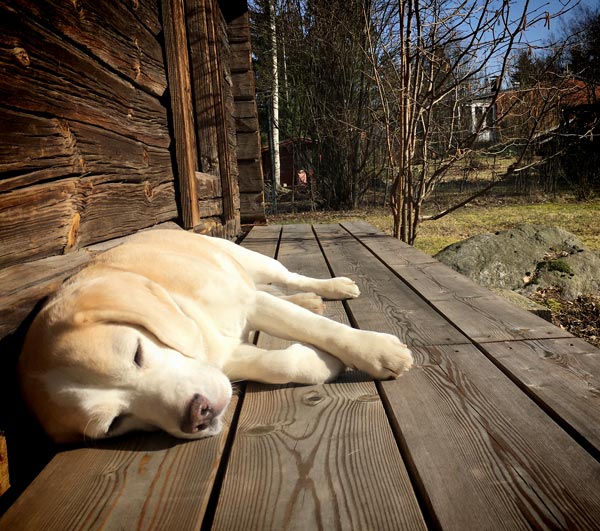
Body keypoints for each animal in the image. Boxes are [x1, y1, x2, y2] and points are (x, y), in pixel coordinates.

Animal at [18, 231, 412, 442]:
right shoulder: (226, 354)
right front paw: (323, 363)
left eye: (136, 353)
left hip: (250, 260)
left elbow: (317, 328)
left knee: (287, 278)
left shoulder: (247, 303)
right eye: (114, 423)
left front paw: (376, 350)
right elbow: (277, 363)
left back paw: (331, 287)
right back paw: (309, 299)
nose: (197, 415)